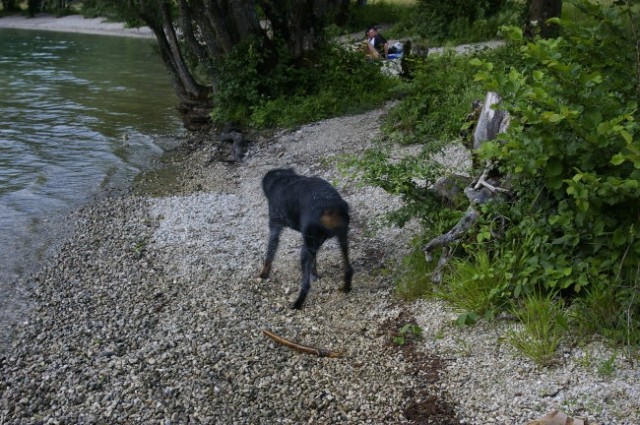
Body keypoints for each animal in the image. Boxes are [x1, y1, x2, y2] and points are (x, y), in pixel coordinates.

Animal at [258, 166, 352, 308]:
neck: (282, 179)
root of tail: (329, 207)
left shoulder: (275, 227)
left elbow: (269, 255)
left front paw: (263, 275)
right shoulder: (314, 245)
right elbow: (314, 263)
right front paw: (316, 275)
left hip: (304, 250)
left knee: (306, 285)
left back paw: (297, 304)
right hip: (341, 240)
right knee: (348, 268)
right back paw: (346, 287)